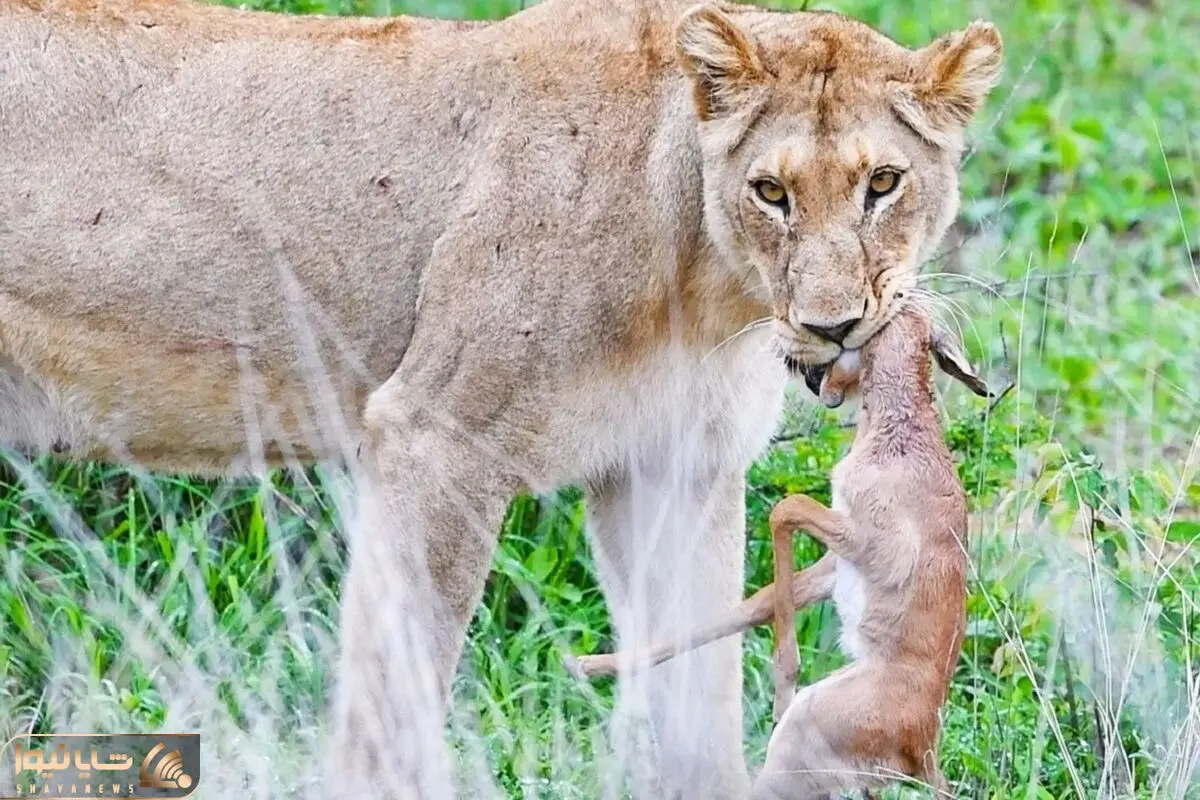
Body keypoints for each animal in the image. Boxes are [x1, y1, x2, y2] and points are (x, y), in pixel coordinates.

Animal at [0, 0, 1001, 796]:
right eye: (771, 191)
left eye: (883, 183)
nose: (837, 327)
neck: (704, 280)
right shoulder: (434, 437)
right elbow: (394, 699)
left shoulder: (674, 467)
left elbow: (698, 695)